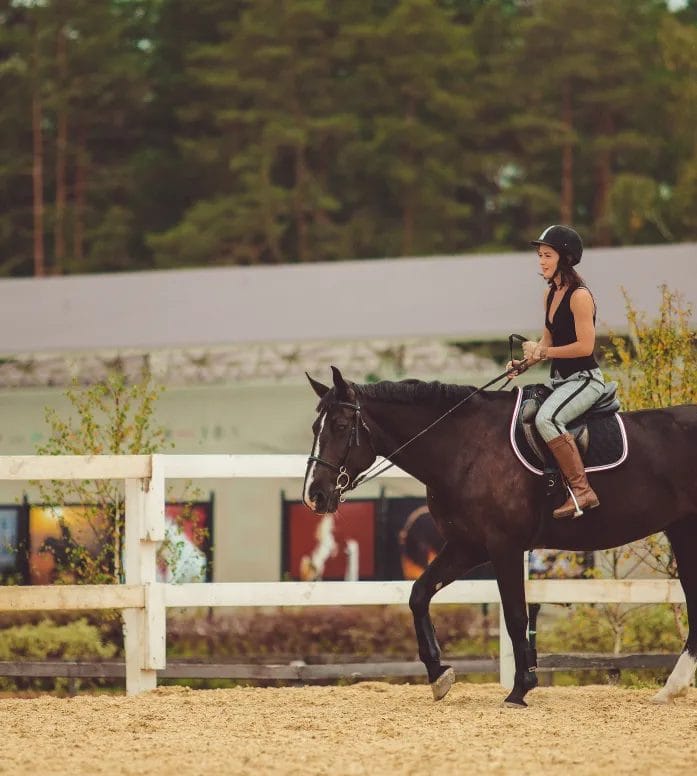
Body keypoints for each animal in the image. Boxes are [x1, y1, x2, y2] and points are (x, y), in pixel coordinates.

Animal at [302, 366, 696, 708]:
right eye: (315, 427)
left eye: (340, 425)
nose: (314, 495)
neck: (466, 446)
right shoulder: (467, 546)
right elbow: (419, 594)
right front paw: (439, 675)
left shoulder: (504, 547)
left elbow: (516, 616)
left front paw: (520, 690)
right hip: (683, 533)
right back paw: (671, 689)